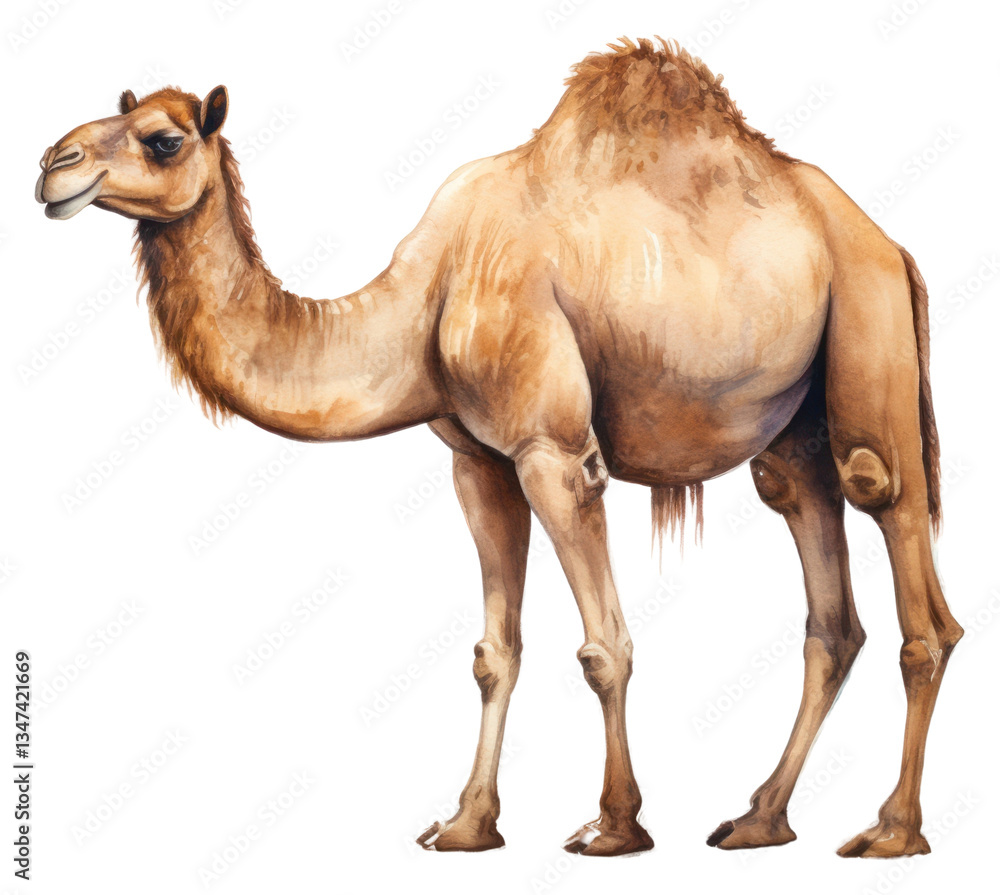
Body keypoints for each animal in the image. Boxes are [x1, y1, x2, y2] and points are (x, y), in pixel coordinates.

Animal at [35, 38, 962, 859]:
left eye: (163, 138)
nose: (52, 163)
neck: (430, 291)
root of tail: (890, 244)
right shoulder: (478, 460)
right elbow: (493, 651)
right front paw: (467, 824)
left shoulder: (553, 450)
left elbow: (604, 647)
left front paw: (612, 825)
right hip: (796, 426)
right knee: (823, 581)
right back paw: (759, 817)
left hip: (868, 330)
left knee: (898, 539)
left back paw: (891, 831)